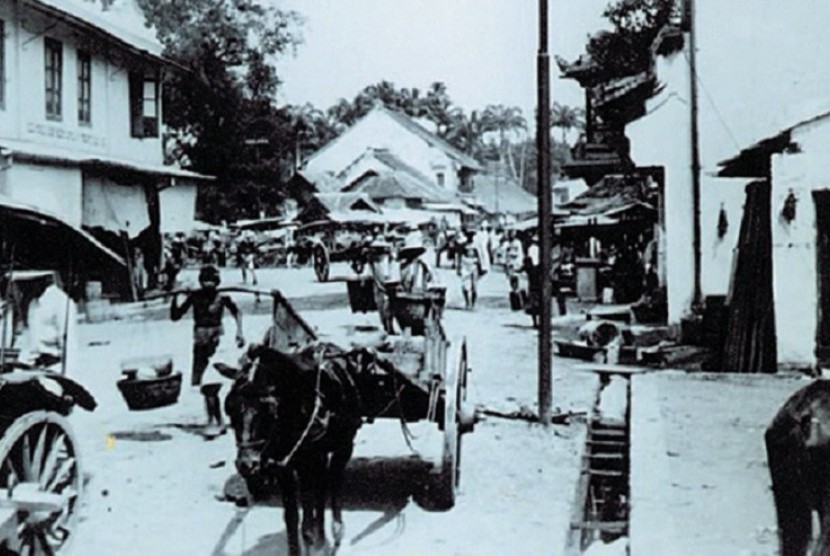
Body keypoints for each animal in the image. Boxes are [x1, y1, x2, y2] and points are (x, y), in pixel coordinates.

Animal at [224, 340, 364, 552]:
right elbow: (291, 519)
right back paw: (321, 536)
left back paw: (336, 529)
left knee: (334, 479)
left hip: (344, 444)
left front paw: (313, 539)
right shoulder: (284, 467)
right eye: (230, 409)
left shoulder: (305, 463)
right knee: (321, 486)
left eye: (267, 410)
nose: (246, 464)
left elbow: (305, 524)